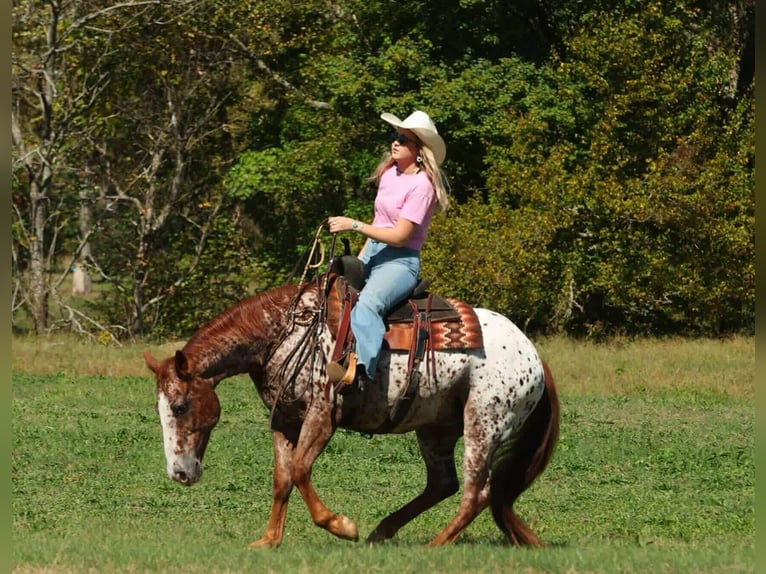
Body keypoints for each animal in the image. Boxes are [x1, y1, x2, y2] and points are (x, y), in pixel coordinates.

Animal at [144, 275, 560, 548]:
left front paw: (341, 525)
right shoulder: (284, 420)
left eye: (179, 406)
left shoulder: (322, 416)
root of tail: (534, 354)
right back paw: (383, 532)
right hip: (436, 428)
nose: (179, 473)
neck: (285, 332)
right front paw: (268, 540)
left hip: (483, 425)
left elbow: (299, 470)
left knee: (476, 491)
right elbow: (282, 479)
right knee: (444, 483)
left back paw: (434, 545)